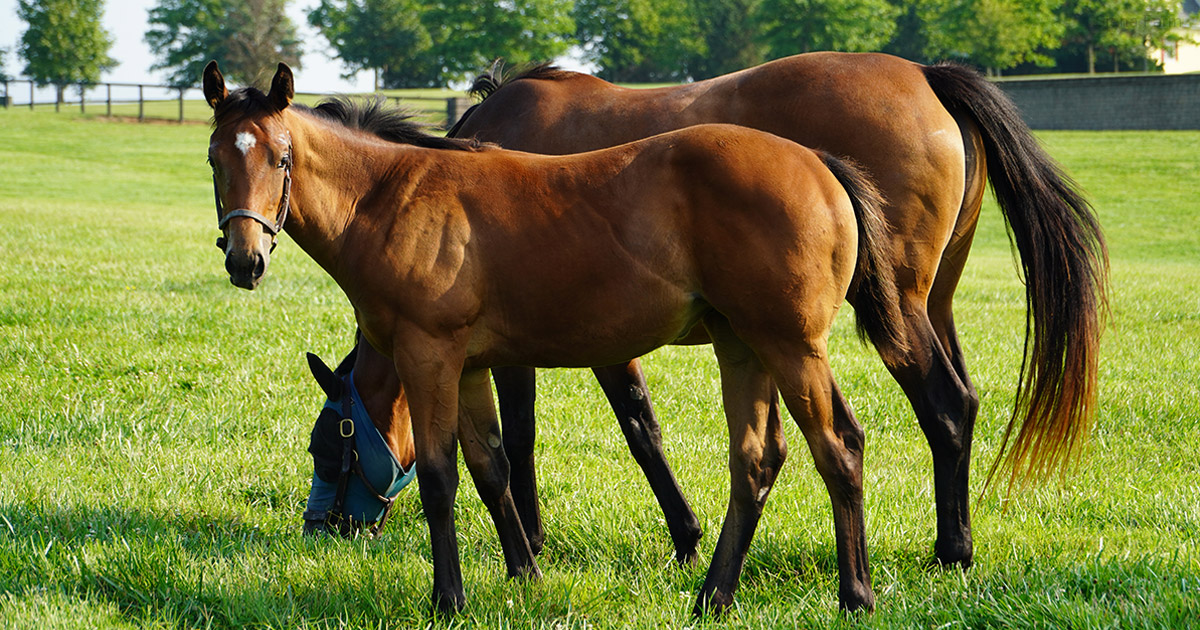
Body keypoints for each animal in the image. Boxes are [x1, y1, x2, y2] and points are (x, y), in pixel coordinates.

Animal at [204, 62, 902, 614]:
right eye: (215, 159)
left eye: (281, 157)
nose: (245, 260)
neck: (393, 200)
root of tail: (820, 163)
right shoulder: (469, 366)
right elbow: (490, 467)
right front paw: (525, 574)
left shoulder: (430, 355)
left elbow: (439, 476)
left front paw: (448, 599)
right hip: (743, 346)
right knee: (755, 459)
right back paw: (713, 595)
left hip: (790, 346)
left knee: (838, 448)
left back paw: (855, 595)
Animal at [350, 52, 1104, 564]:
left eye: (337, 441)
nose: (339, 527)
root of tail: (925, 73)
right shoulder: (601, 335)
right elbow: (642, 428)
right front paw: (685, 536)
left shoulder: (527, 342)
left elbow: (530, 435)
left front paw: (531, 539)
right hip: (932, 305)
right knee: (965, 401)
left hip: (893, 317)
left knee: (945, 406)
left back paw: (952, 549)